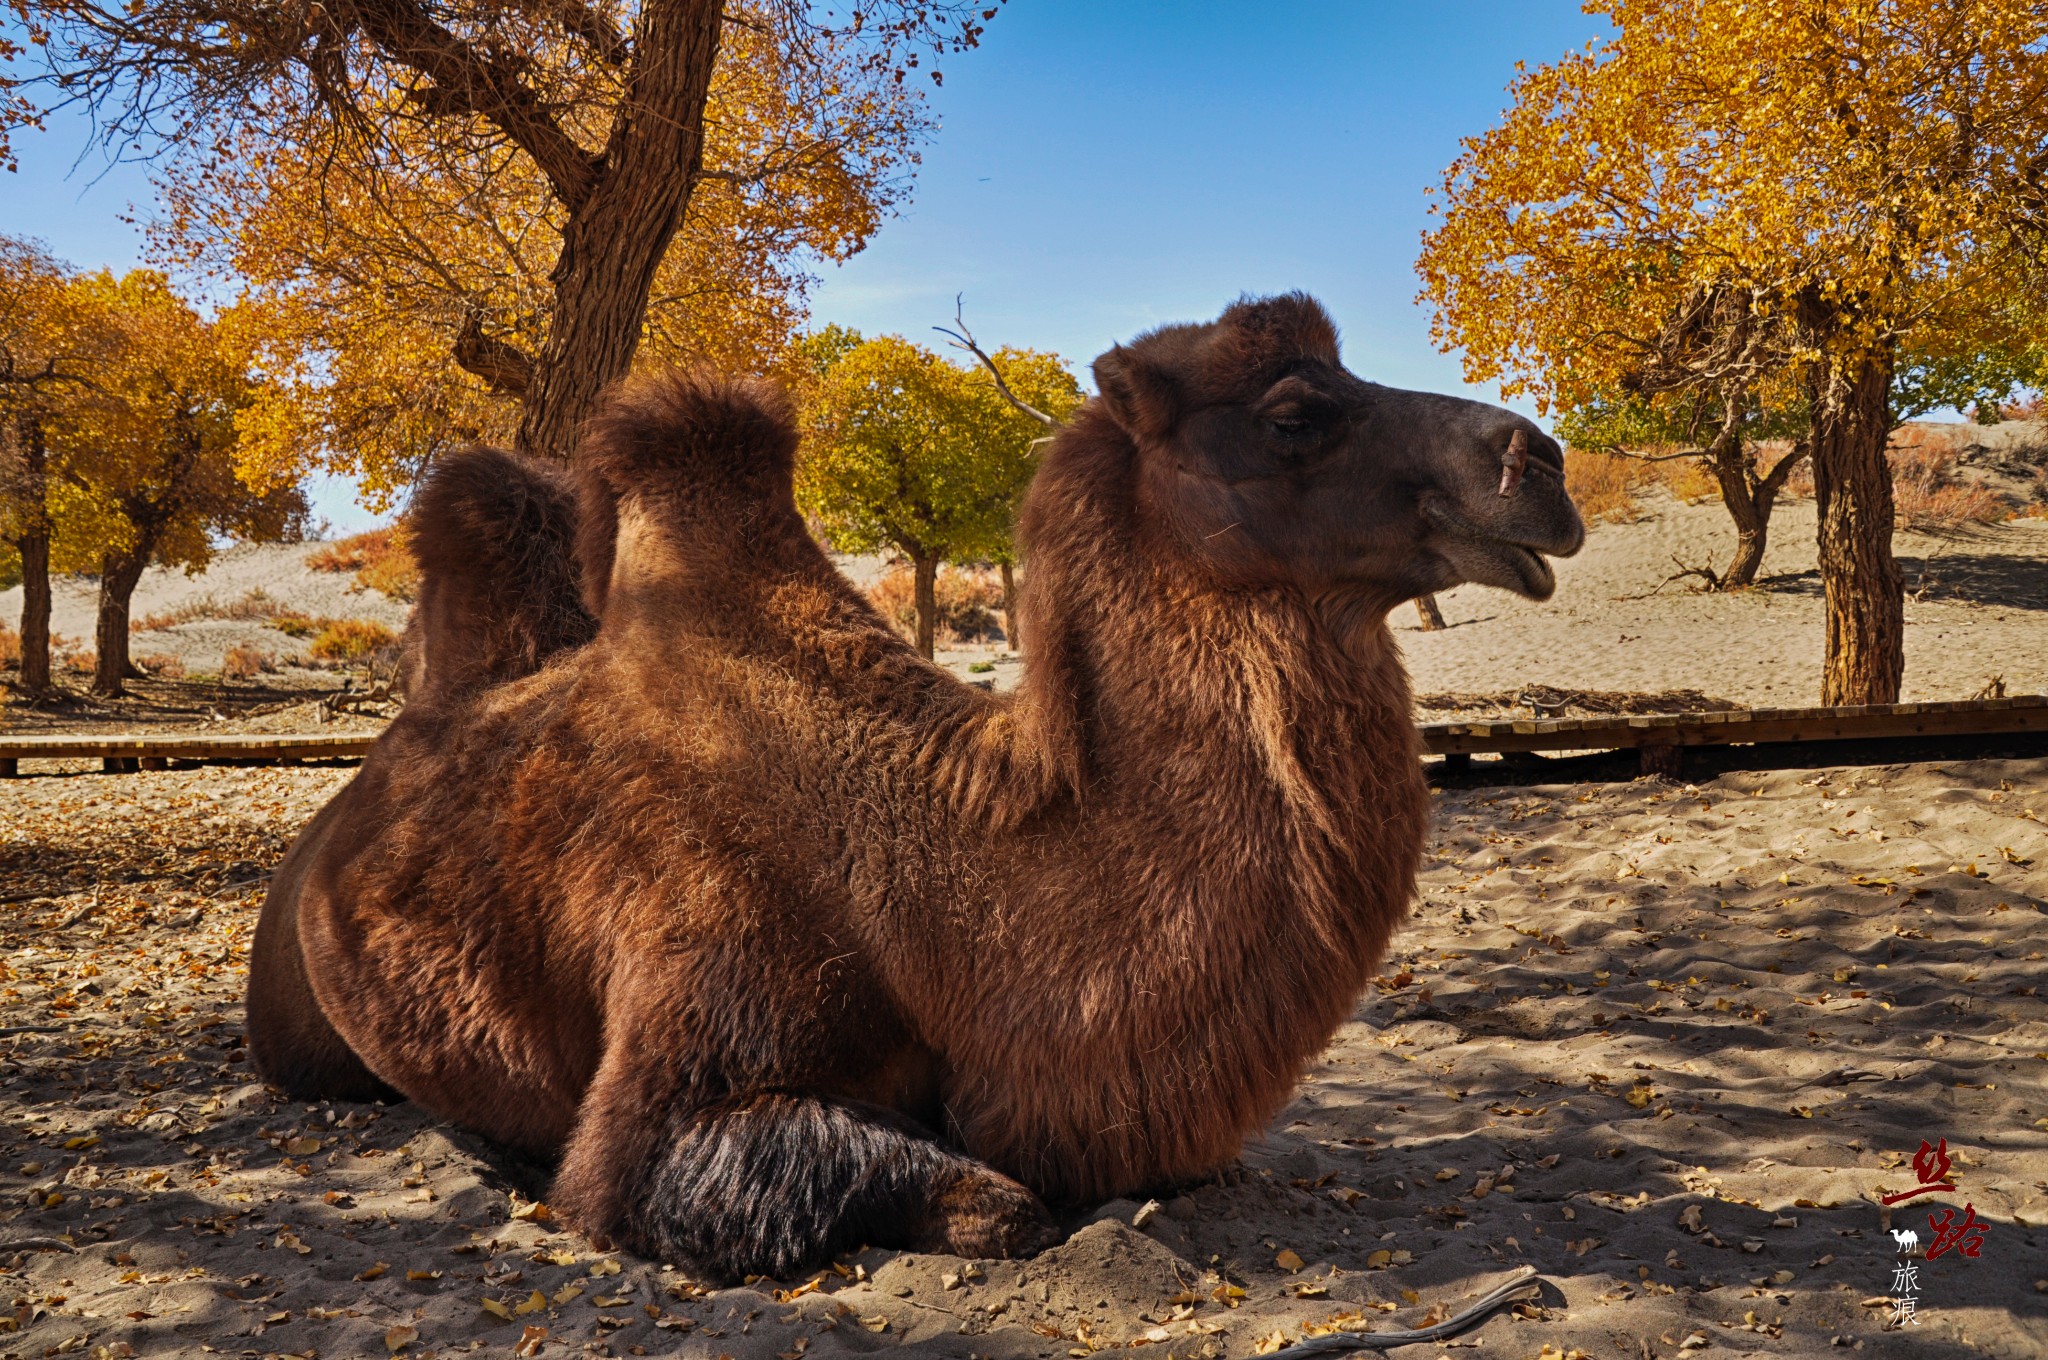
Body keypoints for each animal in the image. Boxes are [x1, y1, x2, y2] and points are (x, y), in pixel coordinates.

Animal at [243, 292, 1581, 1278]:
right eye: (1295, 408)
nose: (1539, 463)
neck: (930, 880)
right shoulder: (668, 1085)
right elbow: (1002, 1207)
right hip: (295, 1029)